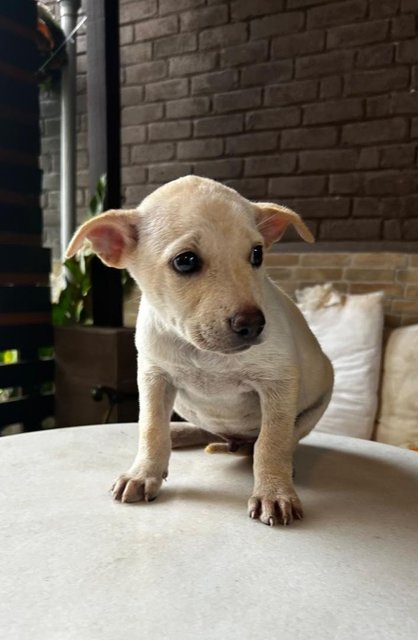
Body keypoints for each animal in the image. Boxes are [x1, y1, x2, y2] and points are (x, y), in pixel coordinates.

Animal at [67, 175, 334, 524]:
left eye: (257, 254)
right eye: (185, 261)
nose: (253, 326)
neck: (204, 354)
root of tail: (235, 441)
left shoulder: (278, 382)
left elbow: (272, 442)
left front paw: (275, 492)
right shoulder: (154, 377)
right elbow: (151, 428)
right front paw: (143, 473)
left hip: (315, 405)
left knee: (278, 440)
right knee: (202, 431)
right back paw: (180, 434)